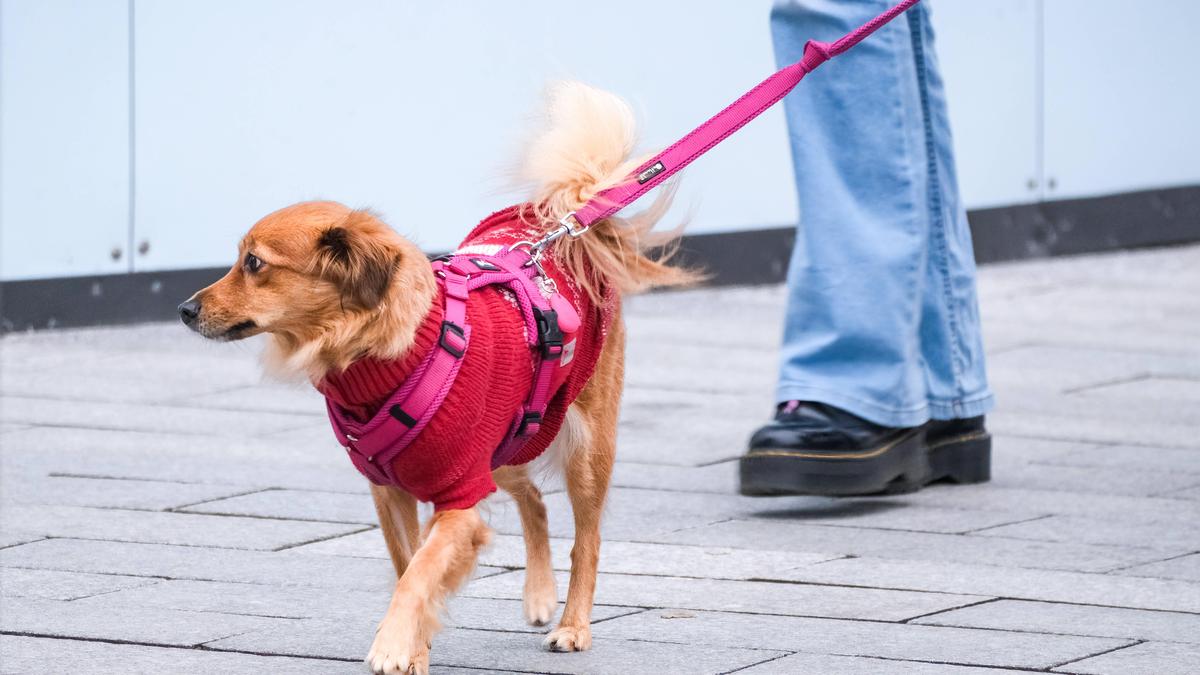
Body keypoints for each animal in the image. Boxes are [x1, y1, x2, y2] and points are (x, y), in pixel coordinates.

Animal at [182, 82, 700, 672]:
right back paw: (539, 596)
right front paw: (415, 652)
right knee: (534, 500)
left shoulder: (460, 495)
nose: (184, 310)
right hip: (512, 438)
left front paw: (392, 646)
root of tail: (564, 229)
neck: (386, 353)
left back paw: (572, 624)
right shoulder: (392, 493)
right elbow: (409, 566)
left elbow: (421, 573)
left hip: (585, 449)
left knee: (585, 538)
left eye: (254, 264)